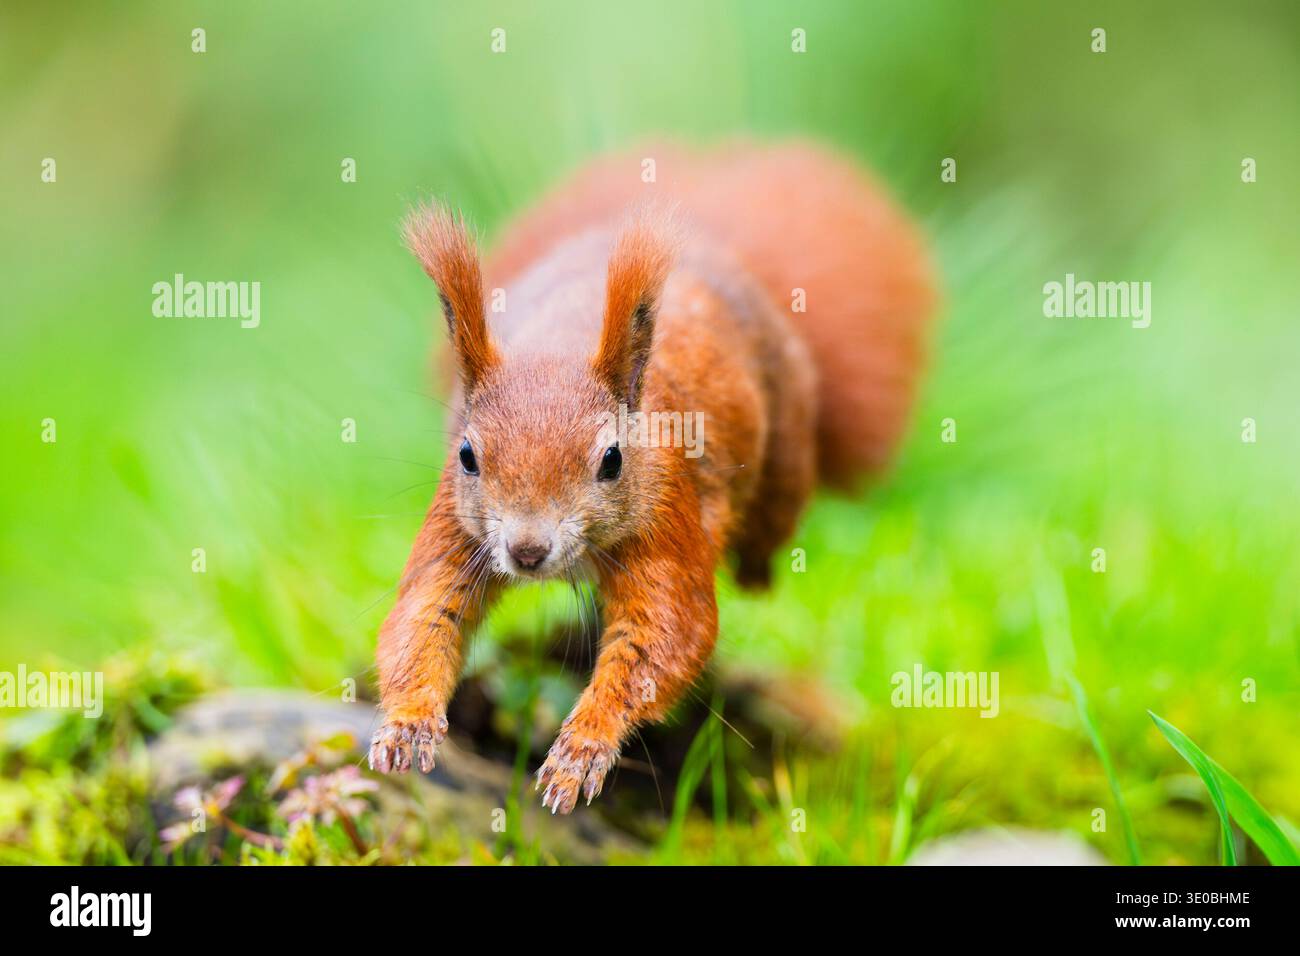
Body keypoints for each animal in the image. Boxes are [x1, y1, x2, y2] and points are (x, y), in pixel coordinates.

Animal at [370, 142, 935, 813]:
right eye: (467, 455)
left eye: (612, 459)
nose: (528, 551)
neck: (558, 347)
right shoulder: (456, 526)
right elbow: (421, 617)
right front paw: (406, 725)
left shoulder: (668, 515)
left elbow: (666, 634)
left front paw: (582, 749)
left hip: (788, 448)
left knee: (772, 523)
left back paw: (756, 569)